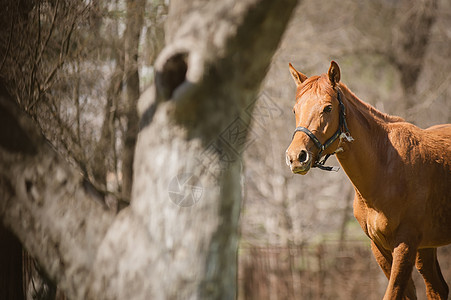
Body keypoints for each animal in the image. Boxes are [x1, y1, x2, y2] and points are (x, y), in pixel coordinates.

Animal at [288, 61, 450, 300]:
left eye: (328, 108)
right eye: (295, 110)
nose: (296, 157)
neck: (387, 168)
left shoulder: (405, 245)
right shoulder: (380, 248)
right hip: (427, 248)